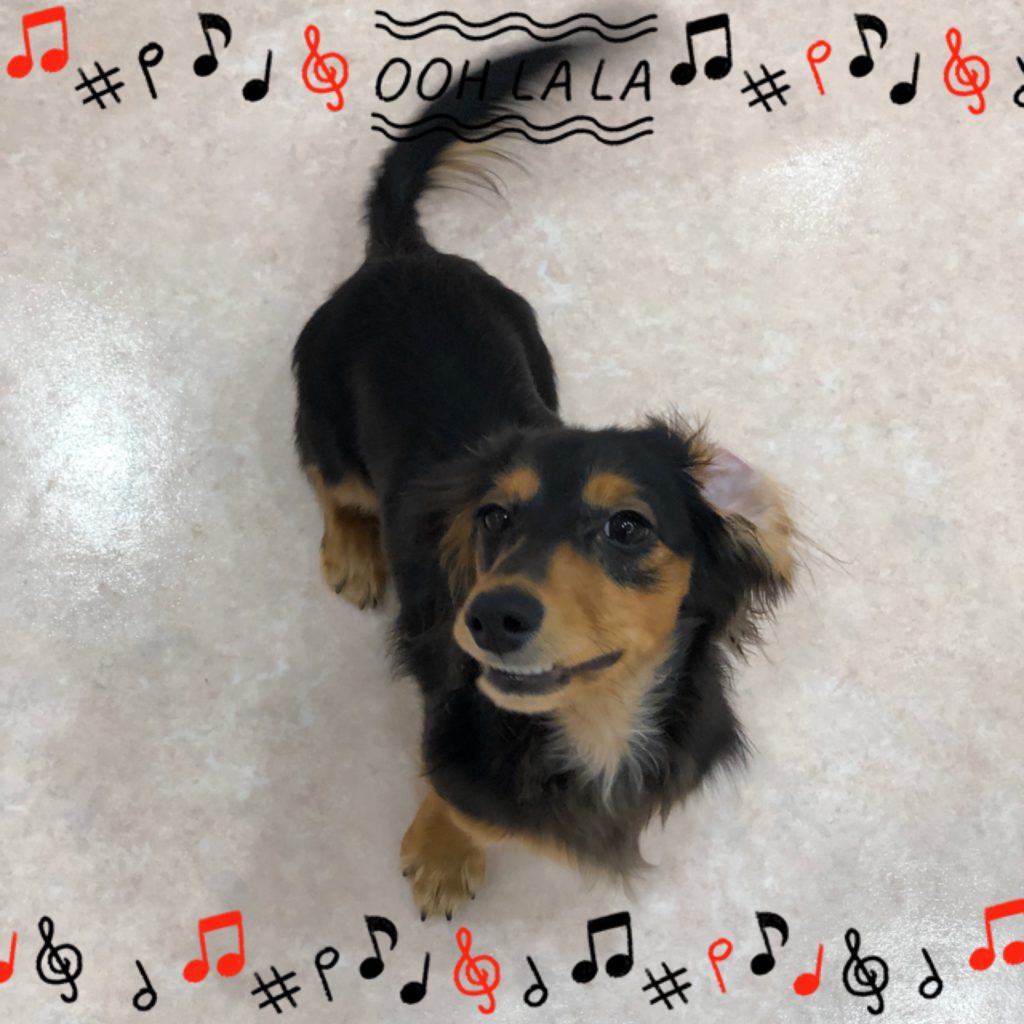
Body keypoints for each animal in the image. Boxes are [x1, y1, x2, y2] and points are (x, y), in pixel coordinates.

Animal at [292, 42, 798, 920]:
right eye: (493, 517)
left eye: (628, 526)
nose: (490, 617)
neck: (592, 723)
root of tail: (402, 257)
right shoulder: (446, 729)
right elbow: (444, 787)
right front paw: (444, 853)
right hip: (327, 427)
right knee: (330, 484)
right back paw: (354, 553)